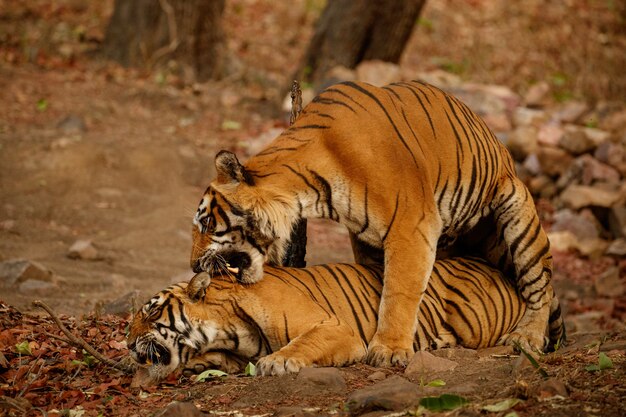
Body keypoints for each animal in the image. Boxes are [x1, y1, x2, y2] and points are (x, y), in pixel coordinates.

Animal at [125, 256, 556, 384]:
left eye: (150, 311)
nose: (127, 344)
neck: (227, 331)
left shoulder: (336, 329)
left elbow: (300, 344)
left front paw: (277, 362)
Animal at [189, 79, 560, 366]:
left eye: (206, 223)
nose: (193, 265)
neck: (309, 190)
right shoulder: (365, 235)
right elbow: (376, 283)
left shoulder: (412, 225)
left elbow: (398, 291)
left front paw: (388, 350)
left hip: (519, 209)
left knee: (540, 285)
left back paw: (527, 338)